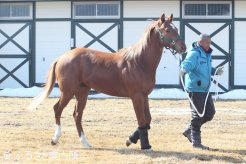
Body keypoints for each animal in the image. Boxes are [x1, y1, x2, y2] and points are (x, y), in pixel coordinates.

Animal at [28, 13, 185, 150]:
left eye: (176, 28)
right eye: (167, 30)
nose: (183, 47)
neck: (139, 61)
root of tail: (62, 57)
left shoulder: (145, 96)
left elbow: (148, 120)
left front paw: (130, 140)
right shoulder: (136, 96)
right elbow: (141, 121)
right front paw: (144, 146)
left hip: (82, 93)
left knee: (77, 115)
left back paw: (85, 142)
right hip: (67, 92)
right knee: (57, 109)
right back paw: (55, 139)